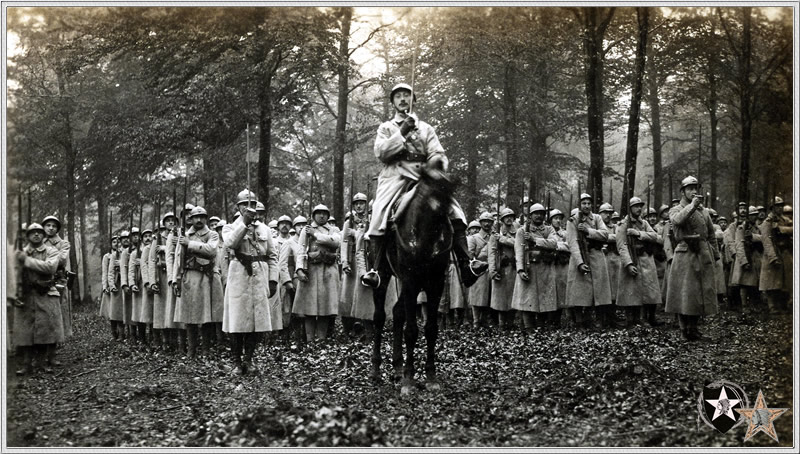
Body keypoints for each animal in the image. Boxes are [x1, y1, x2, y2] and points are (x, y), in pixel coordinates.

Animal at [368, 162, 450, 394]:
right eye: (429, 195)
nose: (441, 240)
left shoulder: (435, 283)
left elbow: (431, 329)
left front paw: (430, 376)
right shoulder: (412, 281)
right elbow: (411, 331)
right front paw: (409, 380)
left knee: (397, 313)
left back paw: (397, 368)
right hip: (384, 275)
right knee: (379, 317)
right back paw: (376, 371)